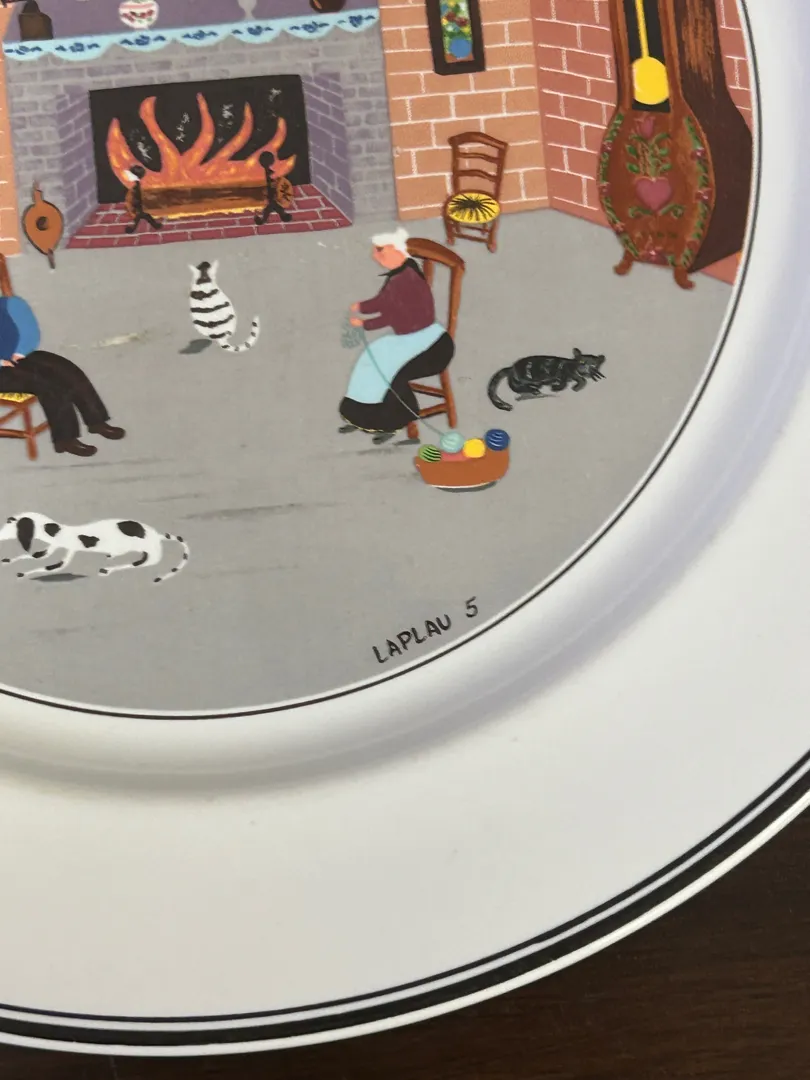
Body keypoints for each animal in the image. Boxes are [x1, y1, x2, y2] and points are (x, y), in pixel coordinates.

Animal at [0, 513, 189, 583]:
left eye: (10, 524)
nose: (0, 535)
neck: (57, 531)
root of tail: (156, 534)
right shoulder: (51, 547)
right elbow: (37, 556)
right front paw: (7, 560)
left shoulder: (67, 551)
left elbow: (52, 566)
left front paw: (22, 573)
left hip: (149, 553)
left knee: (143, 563)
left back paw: (108, 568)